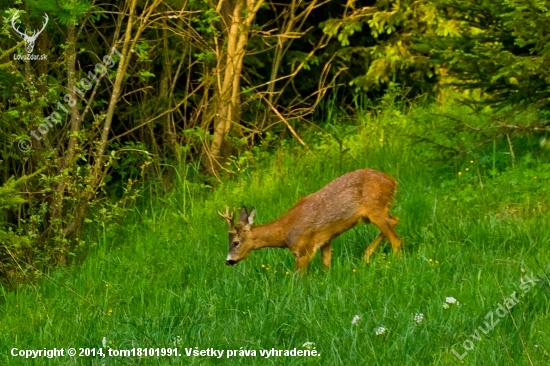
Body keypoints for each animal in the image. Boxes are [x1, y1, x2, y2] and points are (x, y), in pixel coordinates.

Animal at [218, 169, 404, 272]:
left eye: (235, 242)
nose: (228, 261)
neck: (284, 234)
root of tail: (393, 182)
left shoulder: (303, 249)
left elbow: (297, 278)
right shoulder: (325, 240)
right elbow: (326, 266)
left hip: (375, 207)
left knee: (397, 239)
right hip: (374, 212)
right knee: (395, 220)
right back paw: (366, 255)